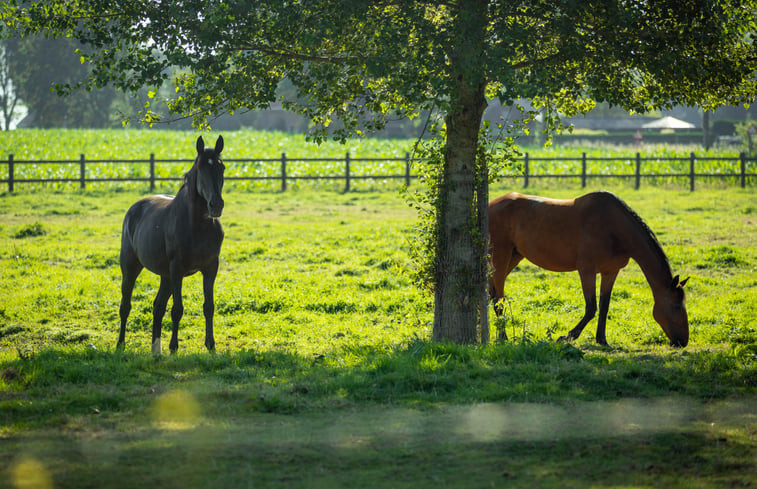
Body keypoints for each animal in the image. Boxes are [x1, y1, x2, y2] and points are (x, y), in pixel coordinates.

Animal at [116, 135, 226, 352]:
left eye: (222, 167)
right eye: (200, 168)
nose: (216, 205)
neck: (197, 226)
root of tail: (134, 209)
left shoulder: (211, 267)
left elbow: (208, 306)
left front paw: (211, 345)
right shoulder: (177, 269)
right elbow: (177, 309)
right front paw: (174, 347)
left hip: (165, 276)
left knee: (157, 307)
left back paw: (155, 349)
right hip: (131, 267)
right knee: (125, 305)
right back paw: (120, 344)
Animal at [488, 191, 688, 346]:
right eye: (676, 306)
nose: (683, 342)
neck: (613, 228)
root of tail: (489, 207)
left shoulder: (610, 272)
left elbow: (604, 306)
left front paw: (602, 340)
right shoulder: (587, 271)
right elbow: (591, 307)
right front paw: (568, 336)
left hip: (514, 256)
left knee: (492, 293)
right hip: (500, 257)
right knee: (498, 299)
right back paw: (503, 337)